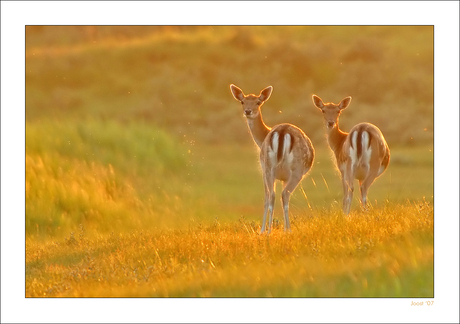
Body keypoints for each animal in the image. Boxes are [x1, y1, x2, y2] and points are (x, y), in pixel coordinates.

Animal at [232, 84, 314, 233]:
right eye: (242, 101)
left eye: (258, 102)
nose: (248, 111)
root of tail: (282, 132)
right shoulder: (273, 173)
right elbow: (269, 198)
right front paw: (265, 229)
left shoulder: (269, 172)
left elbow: (268, 197)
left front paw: (264, 229)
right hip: (292, 169)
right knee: (281, 195)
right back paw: (282, 230)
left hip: (270, 167)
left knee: (275, 195)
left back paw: (272, 230)